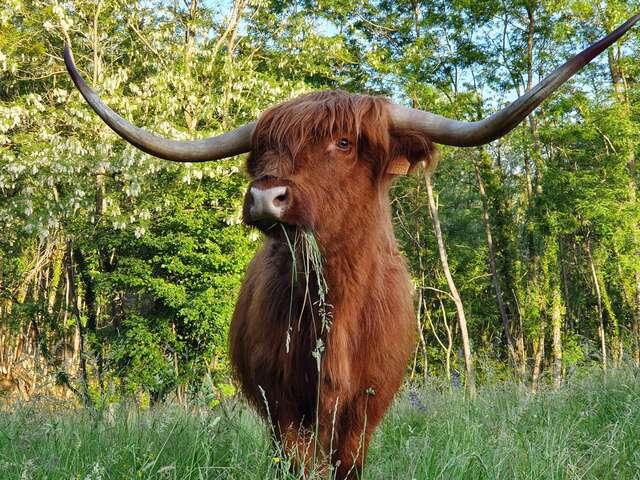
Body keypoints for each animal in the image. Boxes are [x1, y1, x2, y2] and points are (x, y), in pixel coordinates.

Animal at [65, 13, 640, 478]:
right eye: (263, 150)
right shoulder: (282, 405)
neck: (334, 309)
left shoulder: (365, 407)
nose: (264, 196)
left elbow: (346, 465)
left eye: (343, 143)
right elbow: (297, 465)